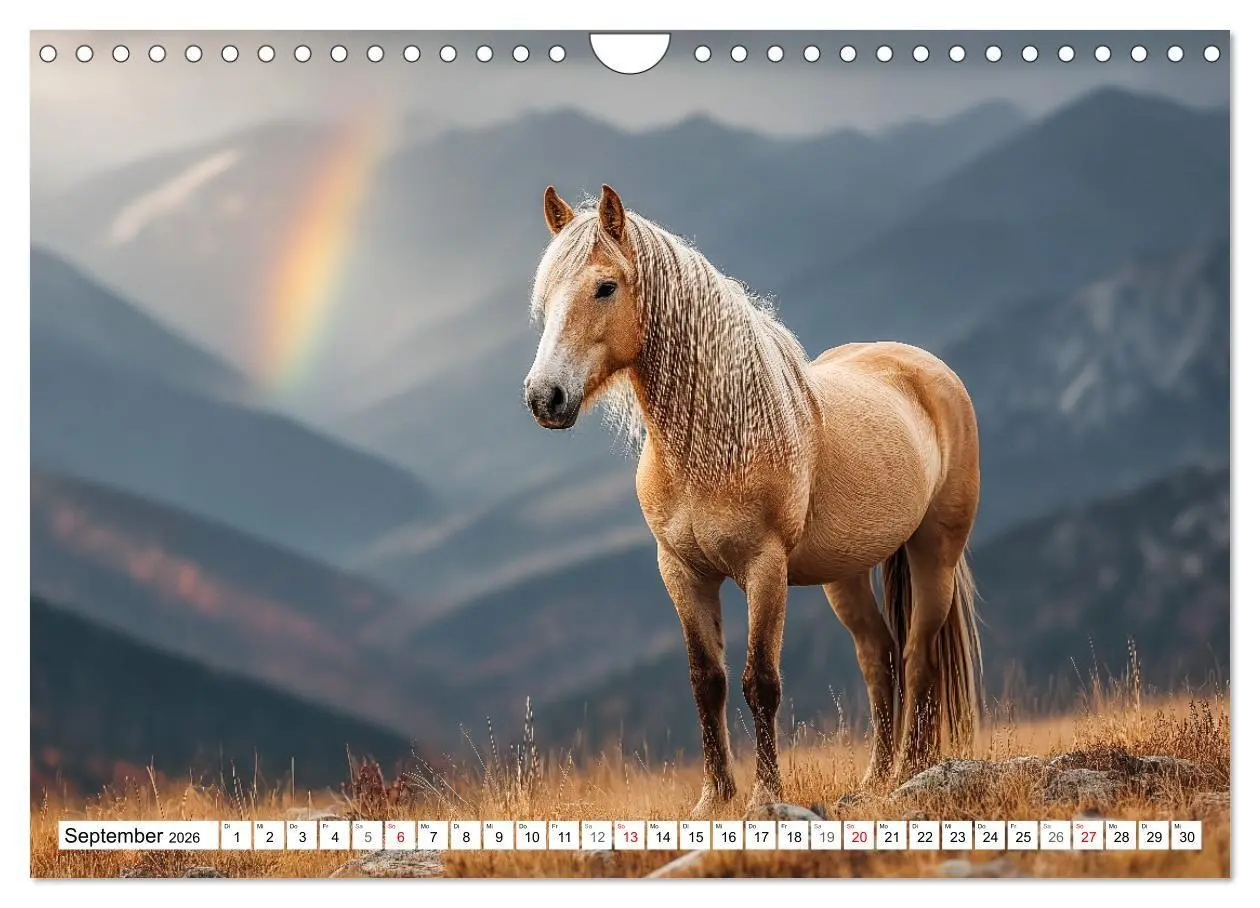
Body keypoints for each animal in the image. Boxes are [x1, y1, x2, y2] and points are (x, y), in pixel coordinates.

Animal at [523, 183, 982, 812]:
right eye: (545, 296)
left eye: (605, 287)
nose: (544, 397)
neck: (714, 442)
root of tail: (928, 370)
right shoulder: (682, 571)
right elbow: (707, 682)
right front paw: (714, 799)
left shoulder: (764, 568)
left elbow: (760, 682)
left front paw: (765, 795)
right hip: (846, 574)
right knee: (878, 656)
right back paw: (875, 780)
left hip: (934, 551)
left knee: (917, 655)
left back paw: (912, 768)